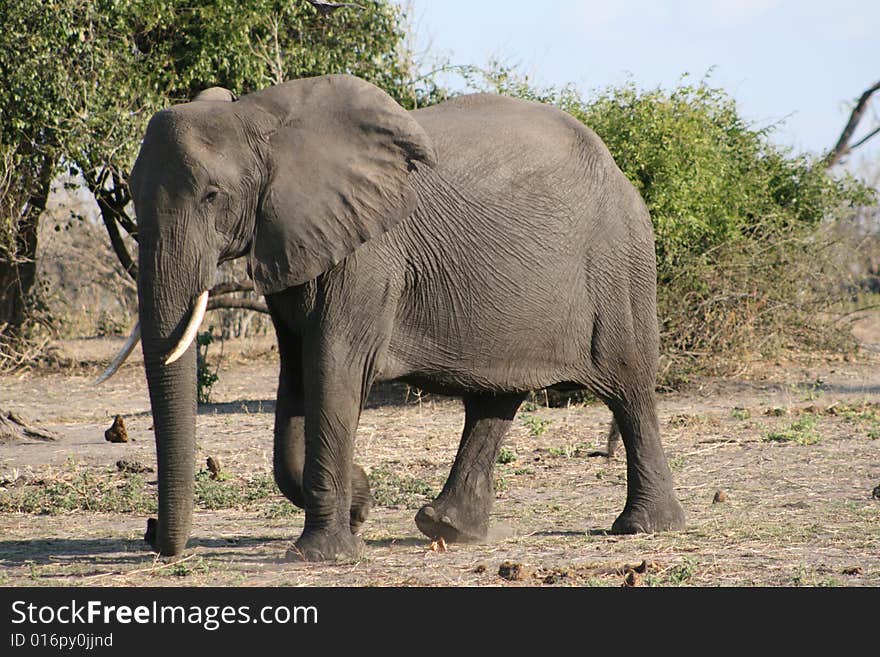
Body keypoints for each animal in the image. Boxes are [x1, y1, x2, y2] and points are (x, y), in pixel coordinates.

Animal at [108, 73, 688, 560]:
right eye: (130, 195)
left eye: (213, 195)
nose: (158, 540)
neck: (260, 119)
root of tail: (616, 166)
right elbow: (296, 373)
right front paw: (359, 504)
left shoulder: (368, 251)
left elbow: (335, 366)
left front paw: (324, 554)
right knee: (496, 398)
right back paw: (446, 527)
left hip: (618, 260)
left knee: (629, 386)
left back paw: (644, 527)